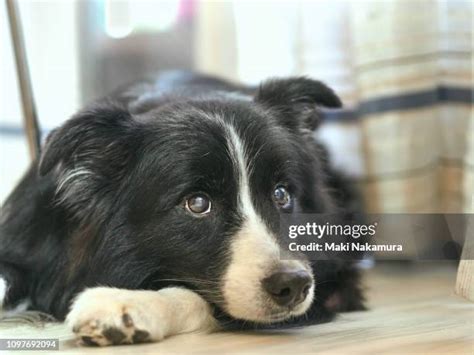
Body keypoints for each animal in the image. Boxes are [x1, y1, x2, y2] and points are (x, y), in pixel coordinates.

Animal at [0, 72, 364, 348]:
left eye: (281, 194)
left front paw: (125, 304)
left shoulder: (329, 283)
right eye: (197, 203)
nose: (293, 285)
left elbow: (197, 297)